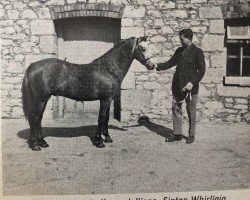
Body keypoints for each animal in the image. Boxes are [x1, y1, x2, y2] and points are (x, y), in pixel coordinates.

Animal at [22, 36, 154, 151]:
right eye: (143, 48)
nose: (152, 65)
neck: (109, 69)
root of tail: (32, 66)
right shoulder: (105, 99)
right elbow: (101, 119)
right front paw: (99, 142)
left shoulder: (109, 100)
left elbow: (106, 118)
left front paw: (108, 138)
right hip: (40, 99)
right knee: (34, 118)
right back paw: (35, 145)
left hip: (44, 100)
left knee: (39, 119)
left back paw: (43, 142)